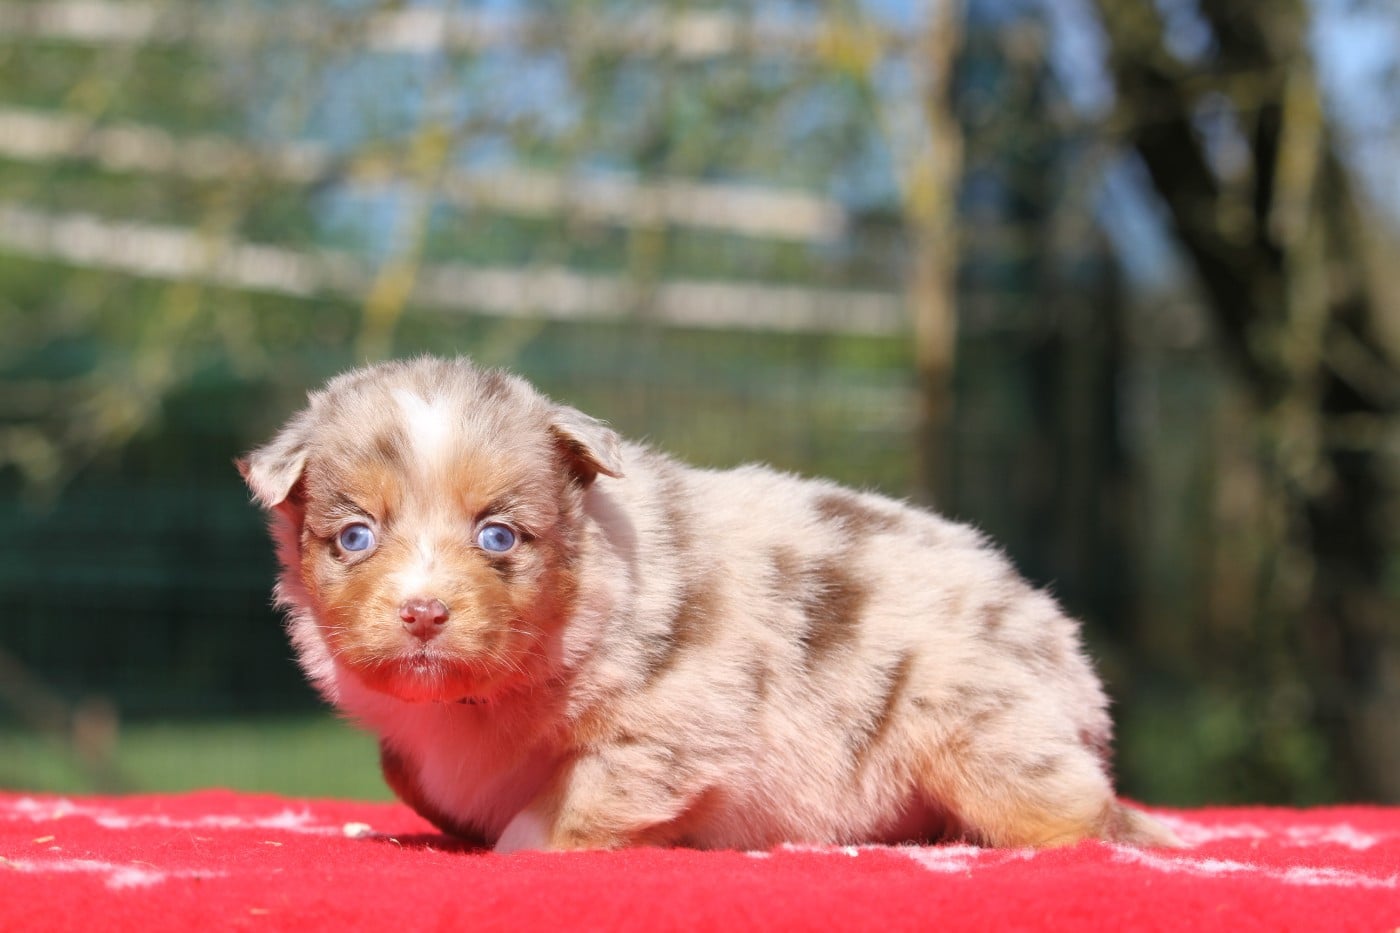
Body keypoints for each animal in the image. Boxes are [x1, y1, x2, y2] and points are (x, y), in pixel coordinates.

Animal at [240, 356, 1178, 852]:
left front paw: (518, 843)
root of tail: (1060, 639)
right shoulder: (414, 747)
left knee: (1085, 812)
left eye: (500, 535)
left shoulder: (672, 724)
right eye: (355, 537)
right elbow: (409, 773)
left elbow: (573, 799)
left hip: (984, 735)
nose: (425, 613)